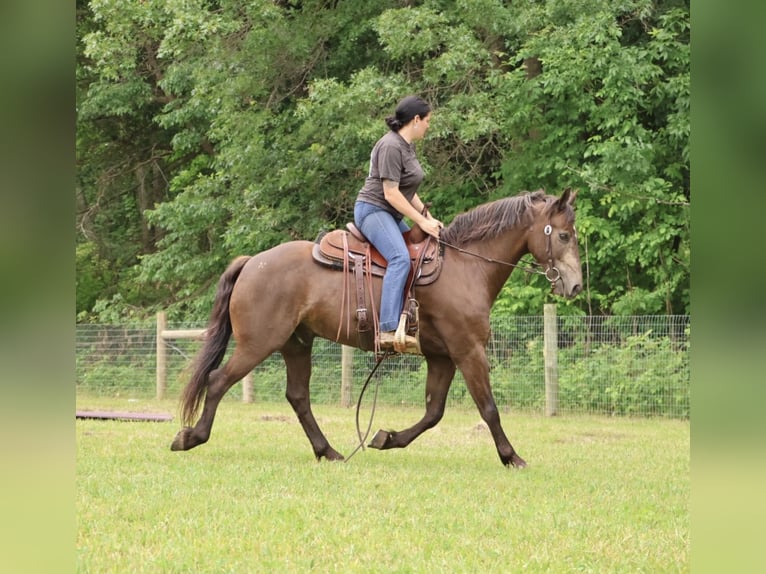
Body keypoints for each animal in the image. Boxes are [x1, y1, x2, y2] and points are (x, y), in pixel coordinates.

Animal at [171, 188, 582, 467]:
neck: (465, 266)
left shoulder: (442, 357)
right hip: (258, 344)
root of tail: (252, 261)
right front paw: (511, 456)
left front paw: (387, 438)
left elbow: (433, 413)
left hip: (296, 344)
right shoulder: (468, 351)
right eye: (563, 235)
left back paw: (328, 451)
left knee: (298, 397)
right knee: (218, 381)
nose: (575, 285)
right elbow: (489, 407)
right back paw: (190, 437)